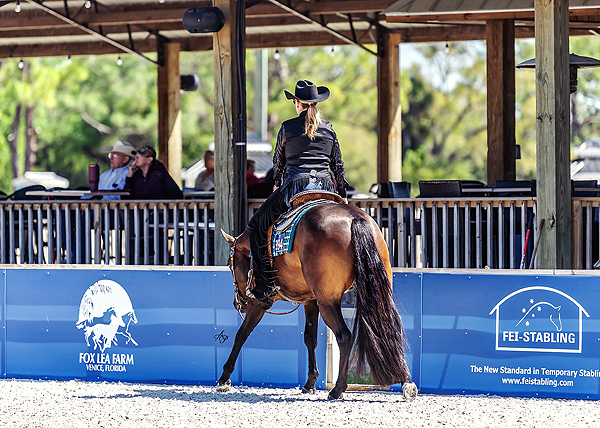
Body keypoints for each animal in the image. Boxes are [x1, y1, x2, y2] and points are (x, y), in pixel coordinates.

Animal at [219, 197, 417, 401]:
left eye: (229, 264)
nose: (238, 304)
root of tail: (355, 218)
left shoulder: (259, 302)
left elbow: (241, 334)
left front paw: (224, 378)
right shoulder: (310, 301)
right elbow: (310, 338)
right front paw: (310, 383)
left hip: (327, 302)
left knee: (344, 335)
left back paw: (338, 388)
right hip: (375, 292)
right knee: (389, 328)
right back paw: (406, 382)